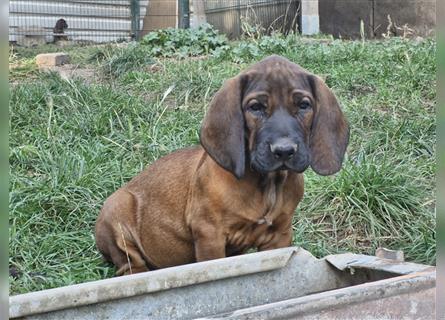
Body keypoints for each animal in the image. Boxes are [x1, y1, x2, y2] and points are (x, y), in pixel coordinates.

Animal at [95, 55, 348, 276]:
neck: (266, 183)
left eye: (304, 105)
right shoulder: (209, 234)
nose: (284, 150)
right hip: (116, 211)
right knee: (129, 264)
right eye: (255, 107)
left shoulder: (279, 235)